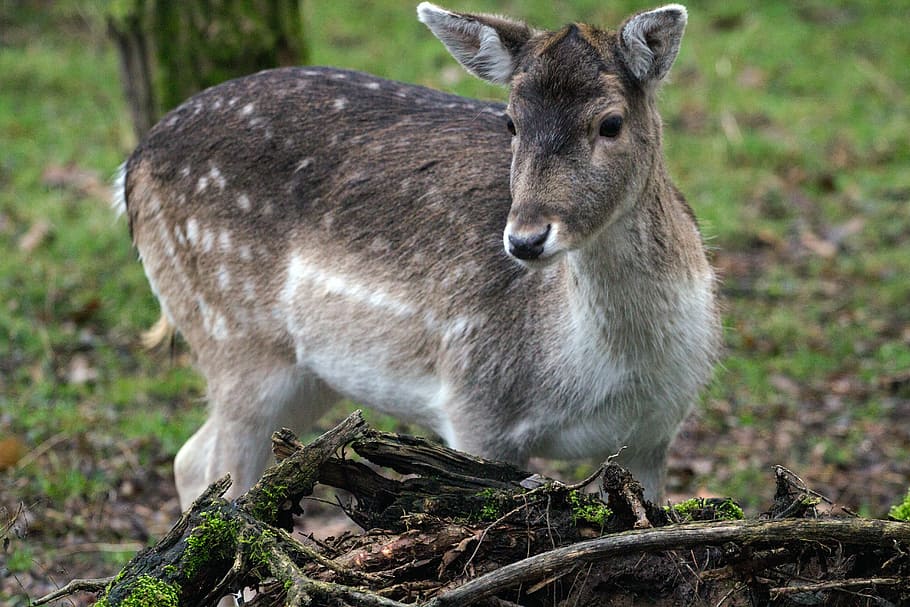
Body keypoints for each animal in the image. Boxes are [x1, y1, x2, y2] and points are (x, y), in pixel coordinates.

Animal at [115, 3, 720, 510]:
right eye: (510, 121)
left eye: (610, 123)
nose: (524, 240)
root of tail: (131, 167)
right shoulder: (476, 404)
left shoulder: (654, 434)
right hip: (232, 336)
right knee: (224, 480)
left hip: (307, 373)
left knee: (191, 459)